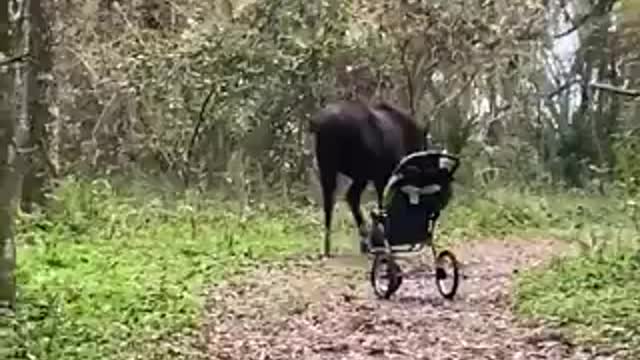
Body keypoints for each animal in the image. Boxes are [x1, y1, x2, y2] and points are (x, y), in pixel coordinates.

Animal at [308, 99, 428, 256]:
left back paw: (334, 247)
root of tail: (318, 123)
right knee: (346, 198)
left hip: (332, 169)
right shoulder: (382, 176)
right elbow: (384, 204)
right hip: (349, 170)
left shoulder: (374, 176)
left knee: (335, 202)